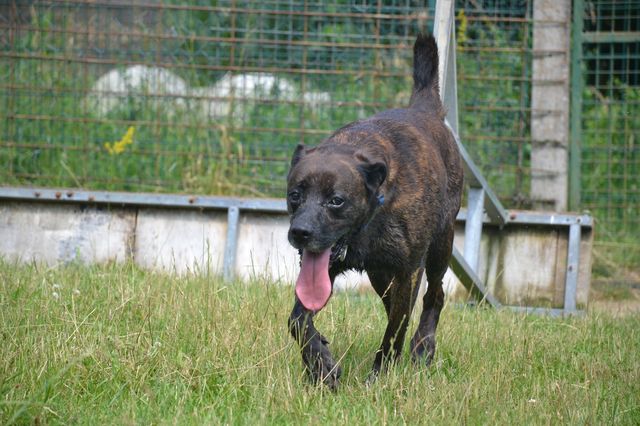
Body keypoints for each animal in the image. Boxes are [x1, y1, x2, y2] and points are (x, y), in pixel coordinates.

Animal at [284, 34, 460, 390]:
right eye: (295, 195)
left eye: (336, 201)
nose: (301, 233)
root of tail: (424, 107)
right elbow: (297, 319)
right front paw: (321, 364)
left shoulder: (408, 271)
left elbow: (394, 332)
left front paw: (379, 379)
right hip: (381, 276)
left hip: (439, 249)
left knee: (433, 297)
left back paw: (423, 346)